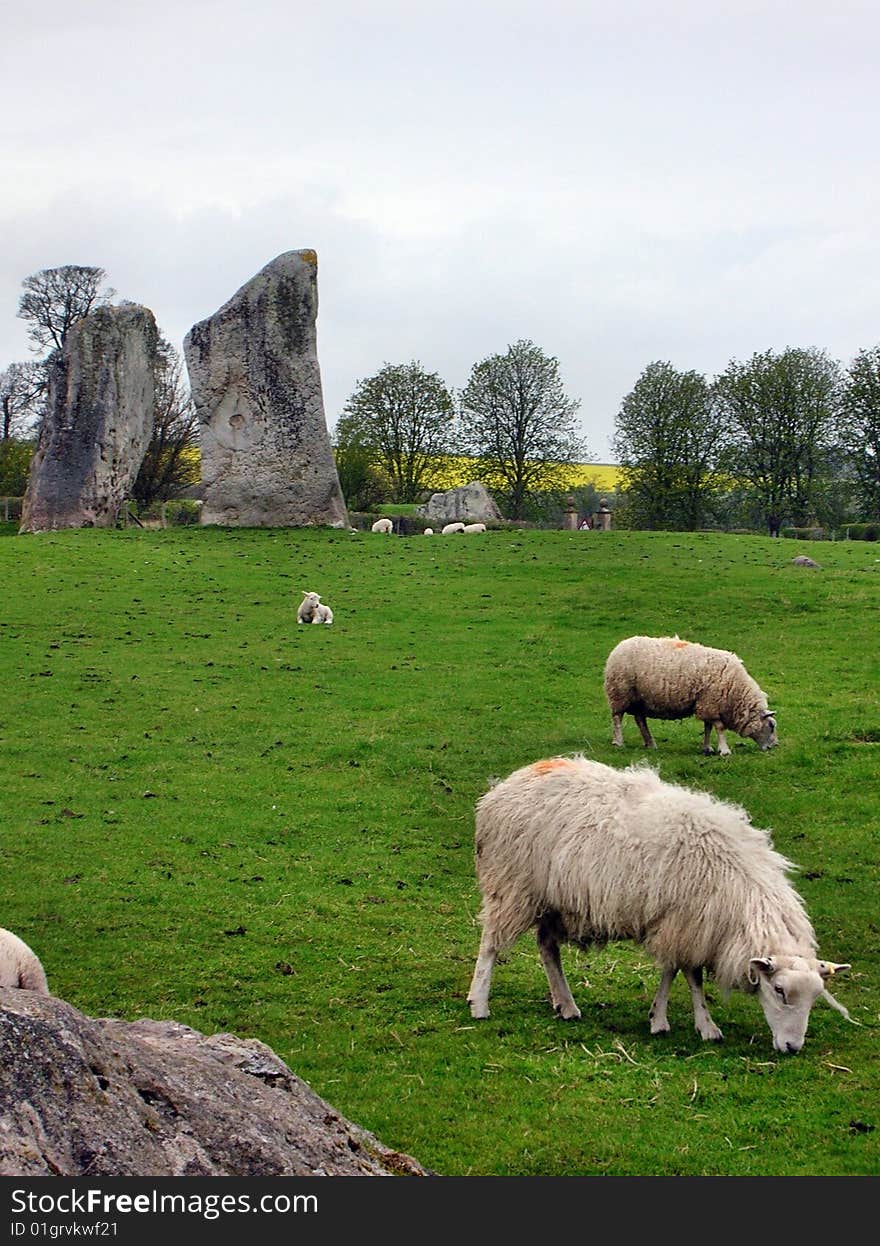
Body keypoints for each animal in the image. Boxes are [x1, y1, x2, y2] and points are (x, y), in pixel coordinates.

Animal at [466, 752, 847, 1056]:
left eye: (816, 997)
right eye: (779, 991)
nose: (792, 1047)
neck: (741, 890)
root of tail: (503, 787)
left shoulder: (679, 923)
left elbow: (672, 969)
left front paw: (660, 1018)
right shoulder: (686, 921)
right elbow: (691, 975)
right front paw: (702, 1025)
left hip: (553, 900)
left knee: (547, 947)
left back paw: (567, 1004)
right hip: (511, 884)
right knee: (490, 944)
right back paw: (479, 1003)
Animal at [603, 637, 772, 752]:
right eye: (771, 726)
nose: (774, 746)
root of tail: (619, 646)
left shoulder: (706, 704)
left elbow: (708, 727)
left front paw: (707, 748)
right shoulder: (711, 703)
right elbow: (719, 727)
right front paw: (724, 750)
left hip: (639, 699)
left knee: (640, 720)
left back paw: (650, 743)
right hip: (620, 693)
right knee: (617, 717)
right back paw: (618, 741)